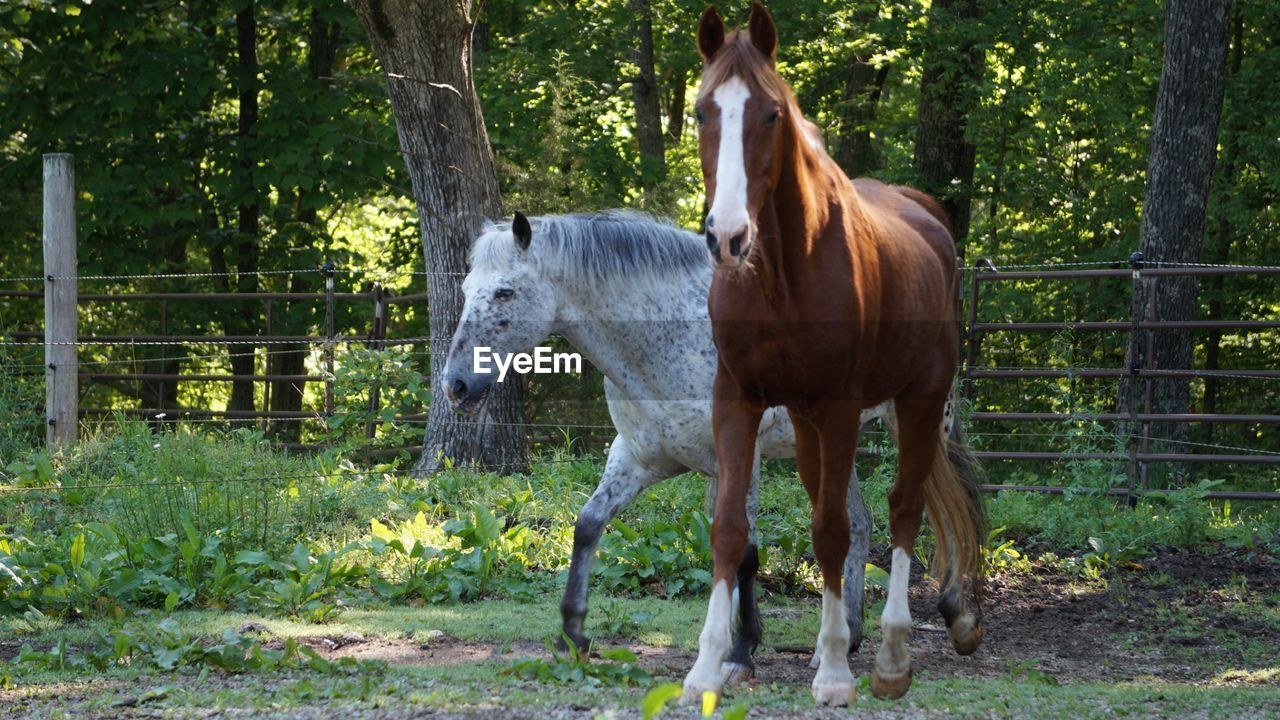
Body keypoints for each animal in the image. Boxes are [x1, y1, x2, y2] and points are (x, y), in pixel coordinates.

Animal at [680, 2, 988, 702]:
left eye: (771, 114)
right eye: (702, 111)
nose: (728, 236)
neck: (779, 280)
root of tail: (930, 219)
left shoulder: (841, 408)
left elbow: (832, 530)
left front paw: (839, 672)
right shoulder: (737, 399)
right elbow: (730, 528)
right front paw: (708, 667)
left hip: (919, 401)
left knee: (903, 511)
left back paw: (892, 655)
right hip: (805, 423)